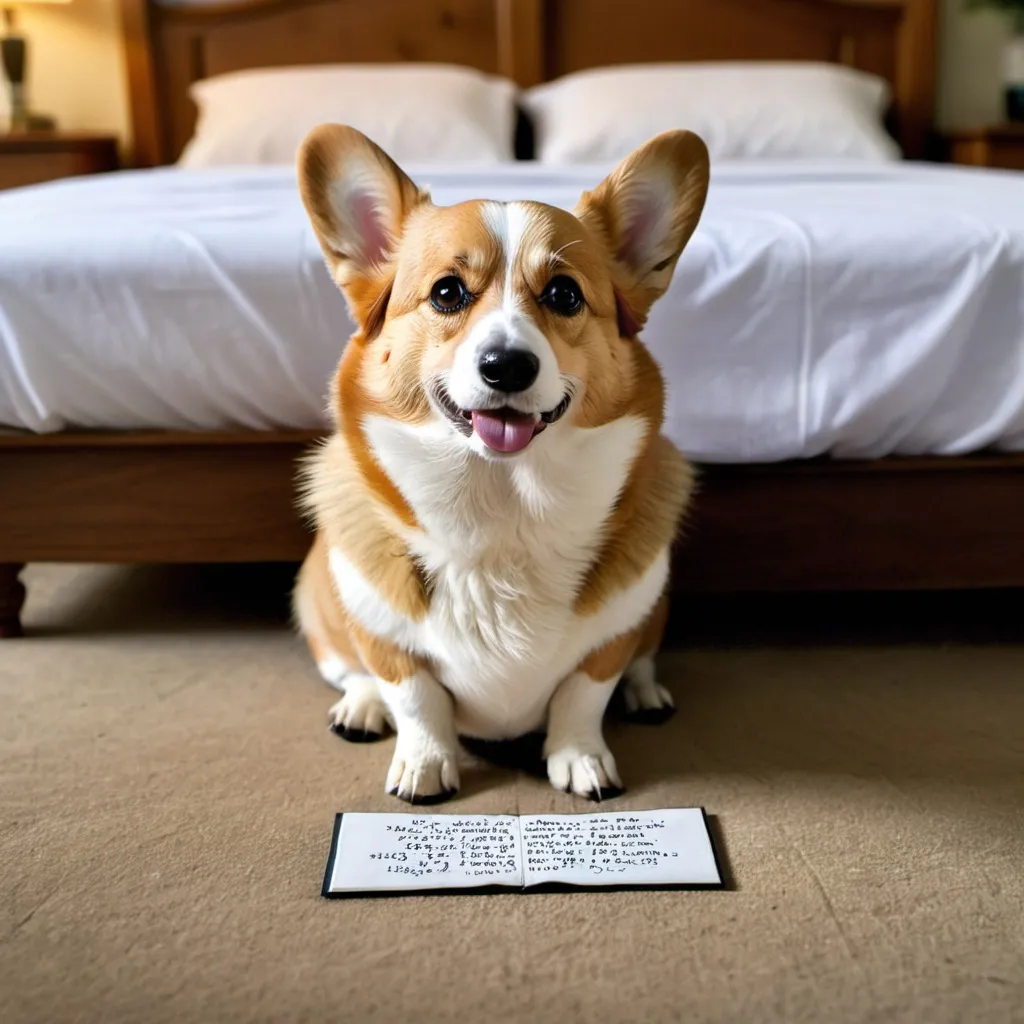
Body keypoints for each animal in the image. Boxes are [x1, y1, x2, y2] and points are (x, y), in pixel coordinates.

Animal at [292, 123, 708, 802]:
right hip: (318, 600)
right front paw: (424, 765)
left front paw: (580, 758)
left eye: (564, 294)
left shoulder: (614, 636)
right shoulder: (384, 638)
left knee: (641, 661)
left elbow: (583, 695)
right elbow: (415, 697)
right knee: (350, 671)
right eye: (447, 292)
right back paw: (360, 707)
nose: (507, 365)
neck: (503, 509)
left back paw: (646, 694)